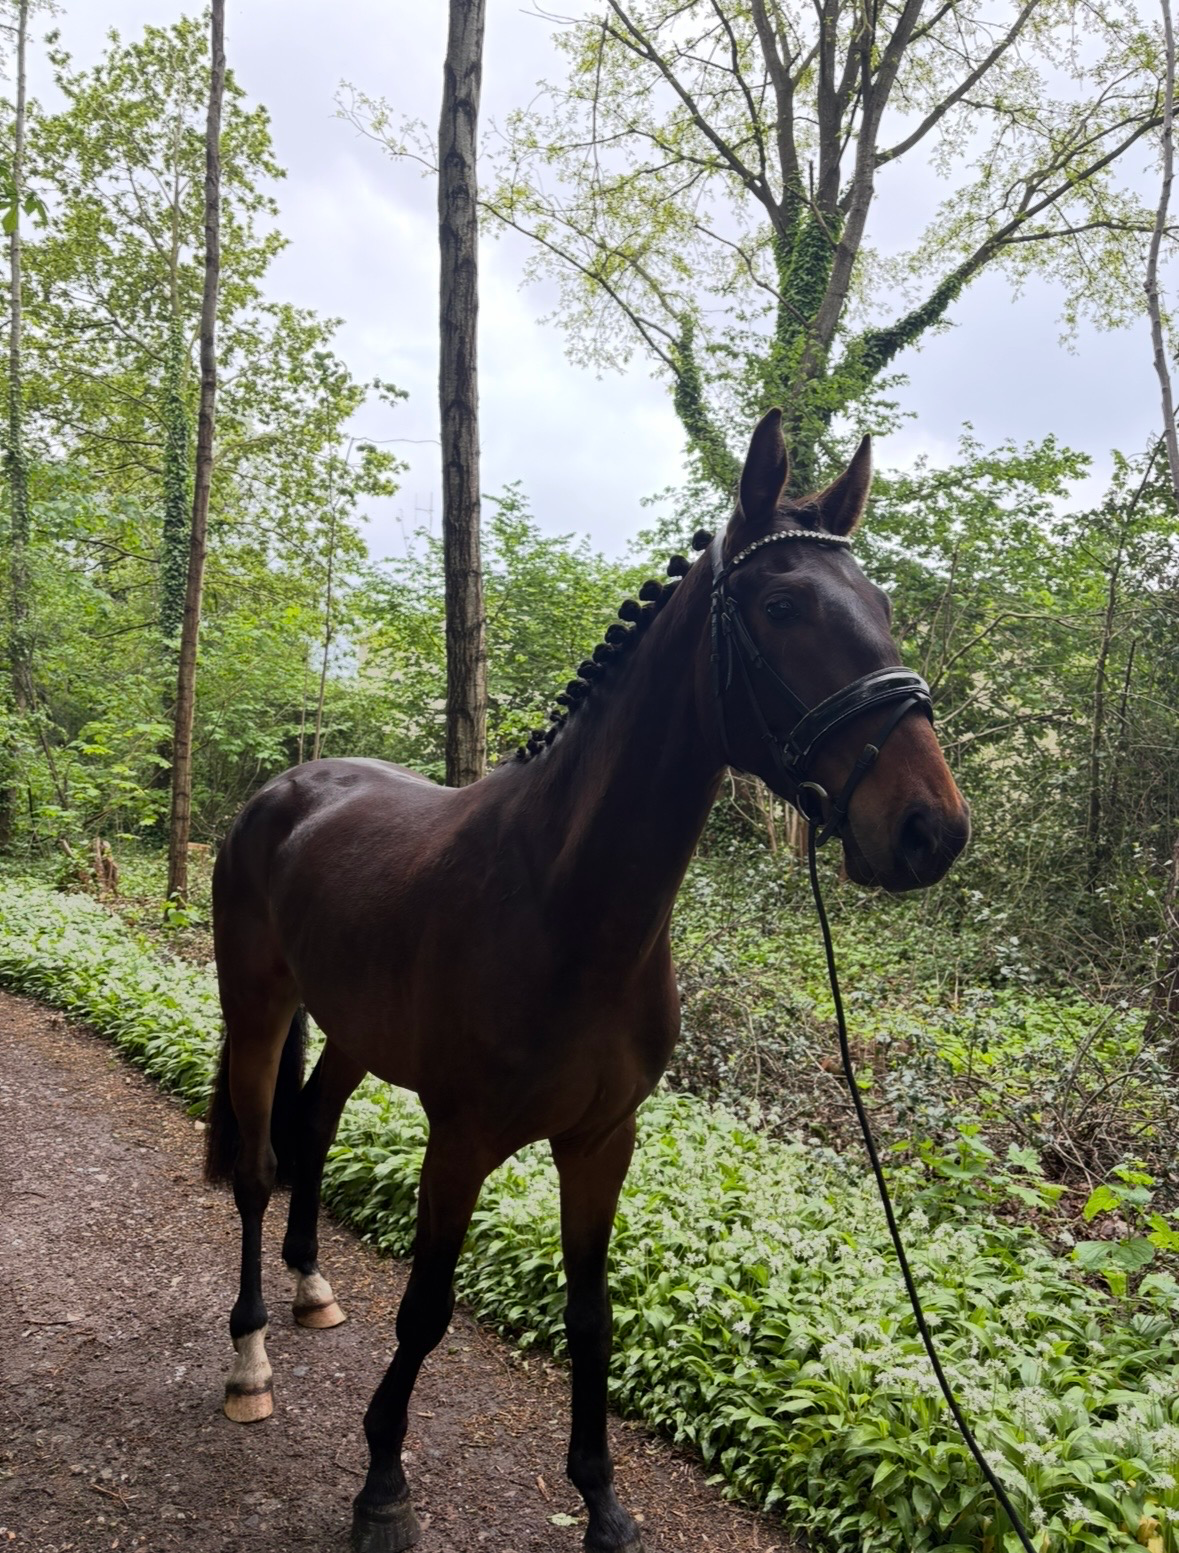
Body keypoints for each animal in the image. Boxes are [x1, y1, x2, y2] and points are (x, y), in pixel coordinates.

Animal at [204, 409, 970, 1553]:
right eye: (782, 605)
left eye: (881, 608)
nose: (931, 828)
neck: (567, 904)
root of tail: (287, 787)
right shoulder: (461, 1137)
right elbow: (426, 1305)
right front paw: (382, 1481)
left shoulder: (604, 1138)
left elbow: (591, 1314)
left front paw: (601, 1497)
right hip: (256, 1009)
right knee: (257, 1166)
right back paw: (250, 1355)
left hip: (350, 1031)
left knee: (314, 1127)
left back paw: (309, 1286)